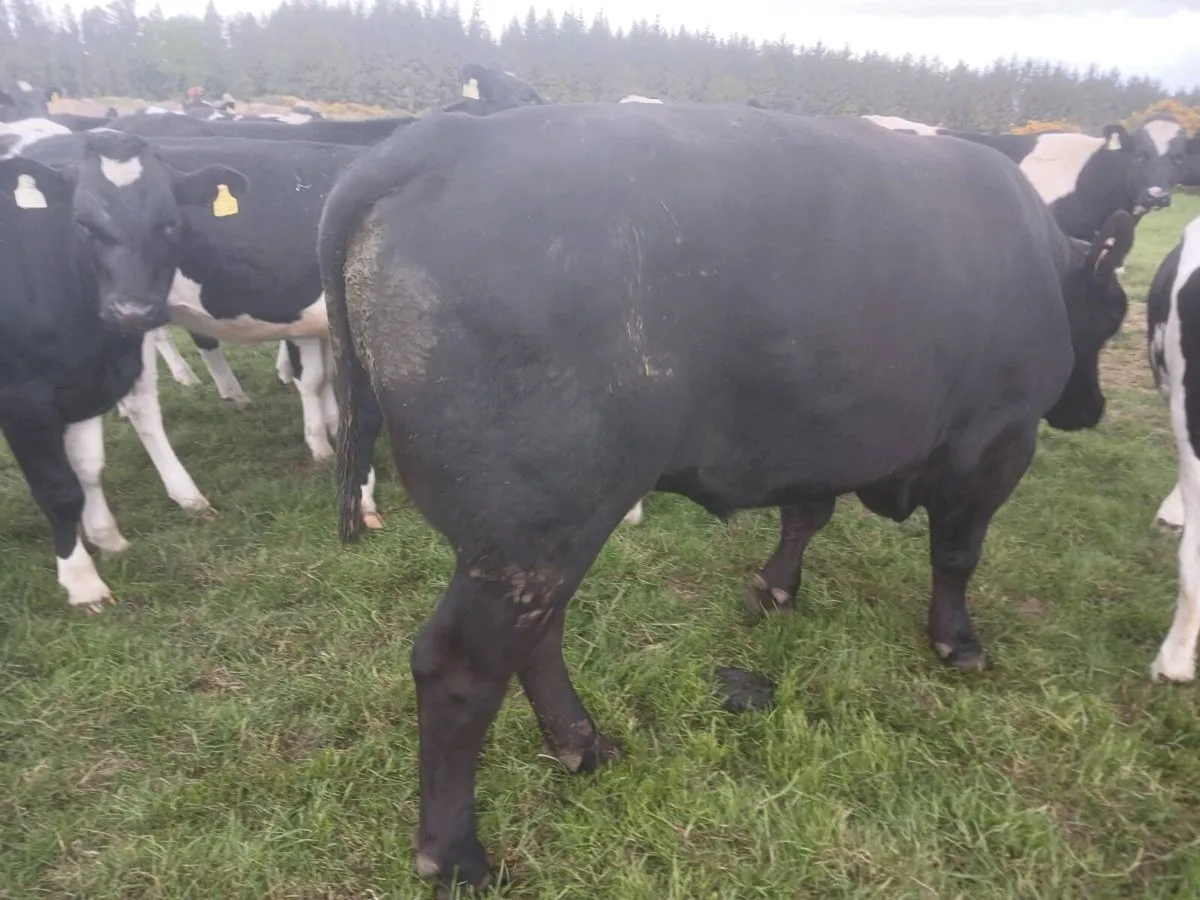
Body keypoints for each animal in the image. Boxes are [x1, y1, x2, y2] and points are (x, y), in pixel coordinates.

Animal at [0, 139, 245, 611]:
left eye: (169, 223)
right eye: (82, 223)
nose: (132, 311)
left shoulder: (87, 384)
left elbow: (88, 470)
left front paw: (107, 538)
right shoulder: (22, 397)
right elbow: (58, 488)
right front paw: (81, 581)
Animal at [317, 102, 1134, 893]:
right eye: (1113, 315)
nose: (1090, 409)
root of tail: (443, 140)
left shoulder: (822, 436)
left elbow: (809, 512)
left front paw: (776, 588)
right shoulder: (997, 442)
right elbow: (958, 554)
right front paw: (957, 642)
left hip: (540, 533)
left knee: (536, 638)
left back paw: (585, 746)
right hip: (532, 526)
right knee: (462, 669)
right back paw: (455, 854)